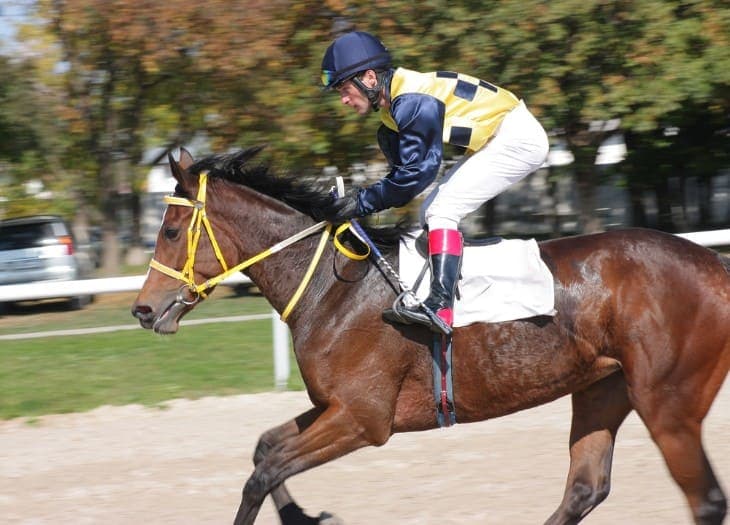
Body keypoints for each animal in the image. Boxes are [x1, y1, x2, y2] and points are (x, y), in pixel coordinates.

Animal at [132, 147, 729, 525]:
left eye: (170, 230)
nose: (143, 309)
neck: (332, 289)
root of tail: (715, 266)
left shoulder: (364, 420)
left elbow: (262, 474)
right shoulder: (335, 406)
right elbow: (264, 449)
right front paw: (306, 516)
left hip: (668, 402)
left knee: (704, 501)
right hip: (602, 389)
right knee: (585, 489)